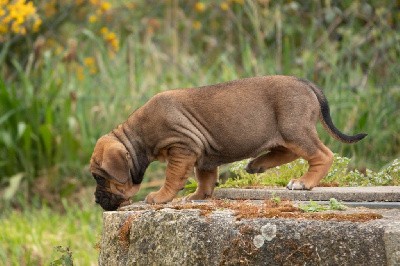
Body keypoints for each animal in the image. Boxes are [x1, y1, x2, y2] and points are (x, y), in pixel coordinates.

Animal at [90, 75, 366, 210]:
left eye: (100, 178)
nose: (96, 200)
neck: (137, 135)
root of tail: (306, 83)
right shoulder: (203, 157)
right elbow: (205, 178)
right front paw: (198, 197)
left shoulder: (182, 148)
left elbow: (172, 178)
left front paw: (160, 197)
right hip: (287, 132)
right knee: (289, 152)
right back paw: (257, 164)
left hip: (294, 128)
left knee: (322, 155)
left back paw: (304, 182)